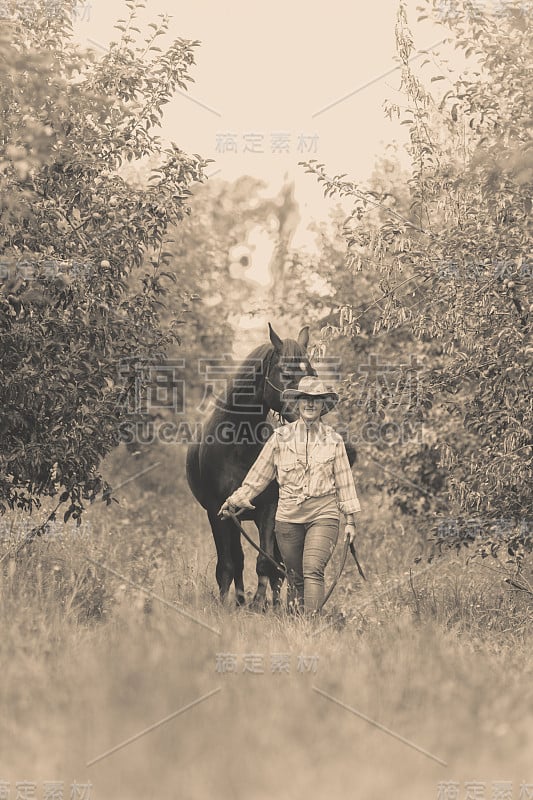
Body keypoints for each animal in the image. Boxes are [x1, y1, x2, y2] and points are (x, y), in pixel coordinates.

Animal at [185, 324, 314, 608]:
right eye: (286, 373)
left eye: (312, 373)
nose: (310, 411)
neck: (238, 442)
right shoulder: (218, 511)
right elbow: (227, 565)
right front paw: (227, 605)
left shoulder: (268, 510)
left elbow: (265, 560)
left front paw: (258, 604)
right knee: (237, 560)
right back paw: (241, 600)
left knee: (278, 565)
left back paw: (273, 604)